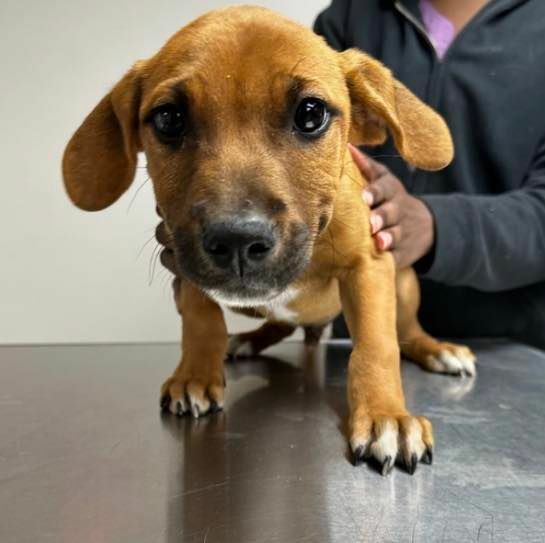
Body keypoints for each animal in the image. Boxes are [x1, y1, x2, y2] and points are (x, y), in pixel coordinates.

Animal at [61, 7, 474, 476]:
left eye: (310, 113)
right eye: (168, 119)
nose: (237, 241)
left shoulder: (370, 264)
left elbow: (376, 344)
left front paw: (387, 416)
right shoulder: (181, 259)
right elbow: (201, 317)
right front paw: (195, 375)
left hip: (404, 282)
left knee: (405, 330)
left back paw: (438, 349)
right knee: (280, 323)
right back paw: (246, 341)